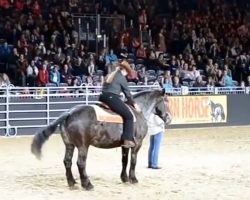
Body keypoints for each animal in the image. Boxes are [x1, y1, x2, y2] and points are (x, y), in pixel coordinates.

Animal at [31, 89, 171, 191]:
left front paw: (124, 178)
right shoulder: (137, 144)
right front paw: (133, 179)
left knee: (67, 162)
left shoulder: (124, 145)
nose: (169, 118)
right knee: (80, 163)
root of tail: (70, 113)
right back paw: (87, 184)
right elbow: (133, 161)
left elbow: (124, 161)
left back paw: (72, 183)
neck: (138, 111)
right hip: (83, 146)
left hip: (69, 145)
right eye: (166, 101)